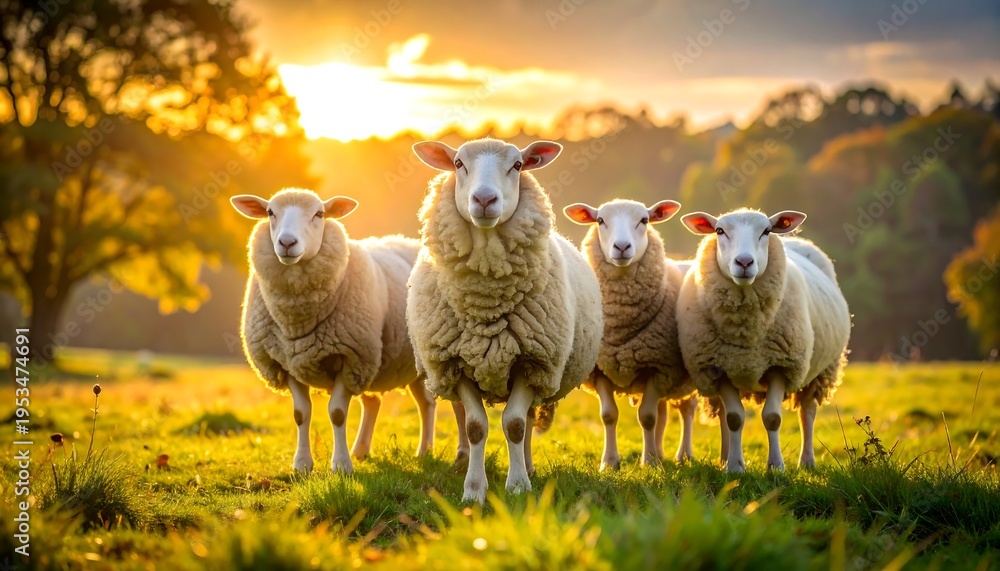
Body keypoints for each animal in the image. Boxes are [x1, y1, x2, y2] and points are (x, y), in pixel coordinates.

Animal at [230, 188, 469, 475]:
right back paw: (395, 451)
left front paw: (341, 465)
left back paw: (460, 457)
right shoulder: (287, 362)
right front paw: (302, 464)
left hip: (436, 357)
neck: (296, 323)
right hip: (402, 364)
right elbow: (301, 414)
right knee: (414, 403)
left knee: (456, 406)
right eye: (270, 212)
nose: (286, 243)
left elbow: (337, 413)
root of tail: (410, 242)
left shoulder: (351, 357)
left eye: (319, 214)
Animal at [407, 138, 603, 503]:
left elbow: (514, 425)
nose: (484, 200)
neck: (486, 297)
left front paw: (518, 486)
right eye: (458, 163)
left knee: (524, 420)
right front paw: (473, 491)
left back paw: (528, 468)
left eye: (518, 165)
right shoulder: (455, 363)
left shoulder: (532, 361)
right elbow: (475, 427)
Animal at [563, 199, 699, 469]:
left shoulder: (658, 366)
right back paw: (661, 453)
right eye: (600, 220)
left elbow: (646, 417)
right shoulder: (600, 369)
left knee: (687, 410)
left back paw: (686, 455)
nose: (622, 247)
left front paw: (649, 463)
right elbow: (609, 416)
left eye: (644, 220)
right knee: (664, 412)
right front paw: (610, 462)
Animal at [676, 208, 850, 473]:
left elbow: (772, 418)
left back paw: (807, 461)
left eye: (766, 231)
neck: (746, 332)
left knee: (808, 412)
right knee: (725, 415)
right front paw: (735, 467)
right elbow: (734, 418)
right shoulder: (718, 367)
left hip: (821, 372)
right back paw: (725, 457)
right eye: (719, 231)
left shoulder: (782, 366)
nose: (744, 262)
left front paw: (776, 466)